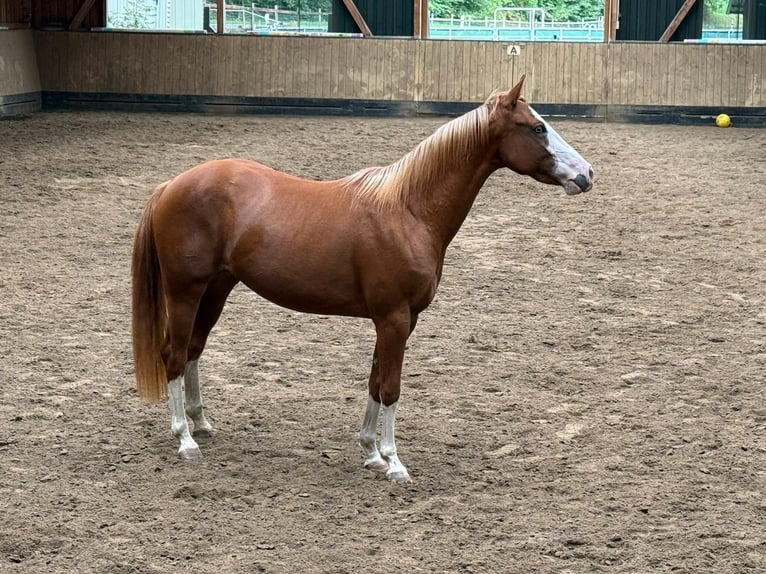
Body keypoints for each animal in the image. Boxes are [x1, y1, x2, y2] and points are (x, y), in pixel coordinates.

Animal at [131, 75, 593, 483]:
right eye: (537, 127)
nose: (587, 174)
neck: (408, 210)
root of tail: (172, 184)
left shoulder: (398, 320)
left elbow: (374, 381)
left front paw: (371, 452)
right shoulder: (394, 318)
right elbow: (390, 387)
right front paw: (394, 462)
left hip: (217, 289)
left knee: (193, 349)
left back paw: (201, 423)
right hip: (185, 291)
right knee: (173, 354)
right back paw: (185, 439)